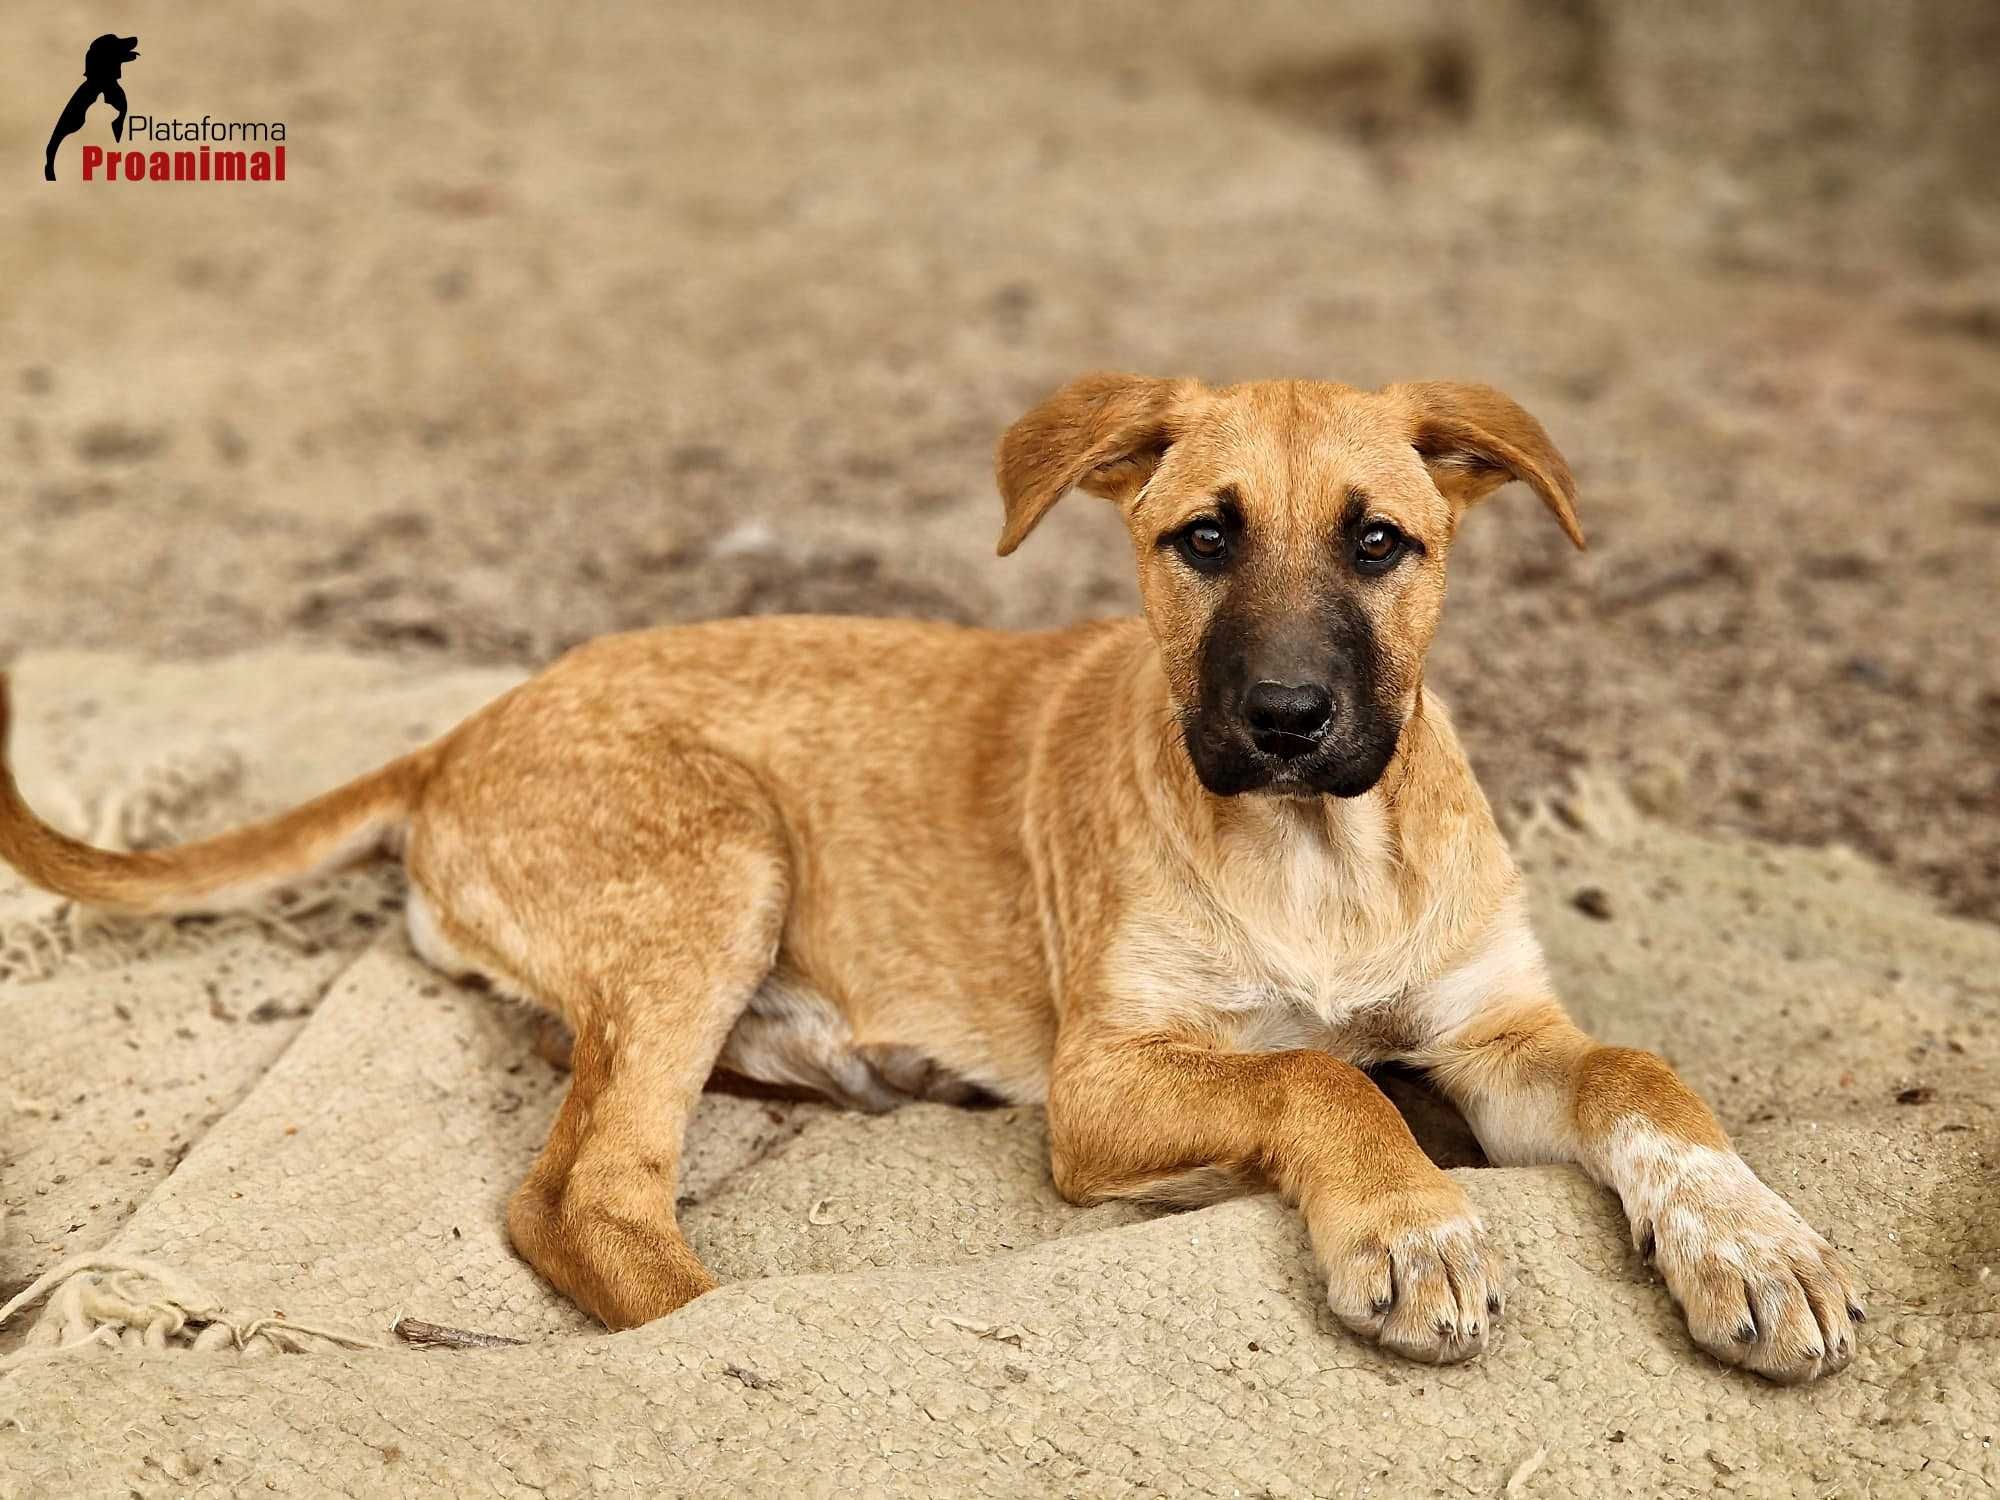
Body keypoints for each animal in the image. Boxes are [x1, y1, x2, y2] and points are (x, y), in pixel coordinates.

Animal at [0, 376, 1856, 1384]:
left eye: (1382, 543)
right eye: (1201, 539)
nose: (1284, 721)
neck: (1320, 854)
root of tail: (457, 733)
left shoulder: (1498, 1030)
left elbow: (1638, 1073)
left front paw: (1756, 1248)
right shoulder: (1105, 1082)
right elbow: (1317, 1073)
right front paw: (1412, 1222)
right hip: (722, 858)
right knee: (583, 1189)